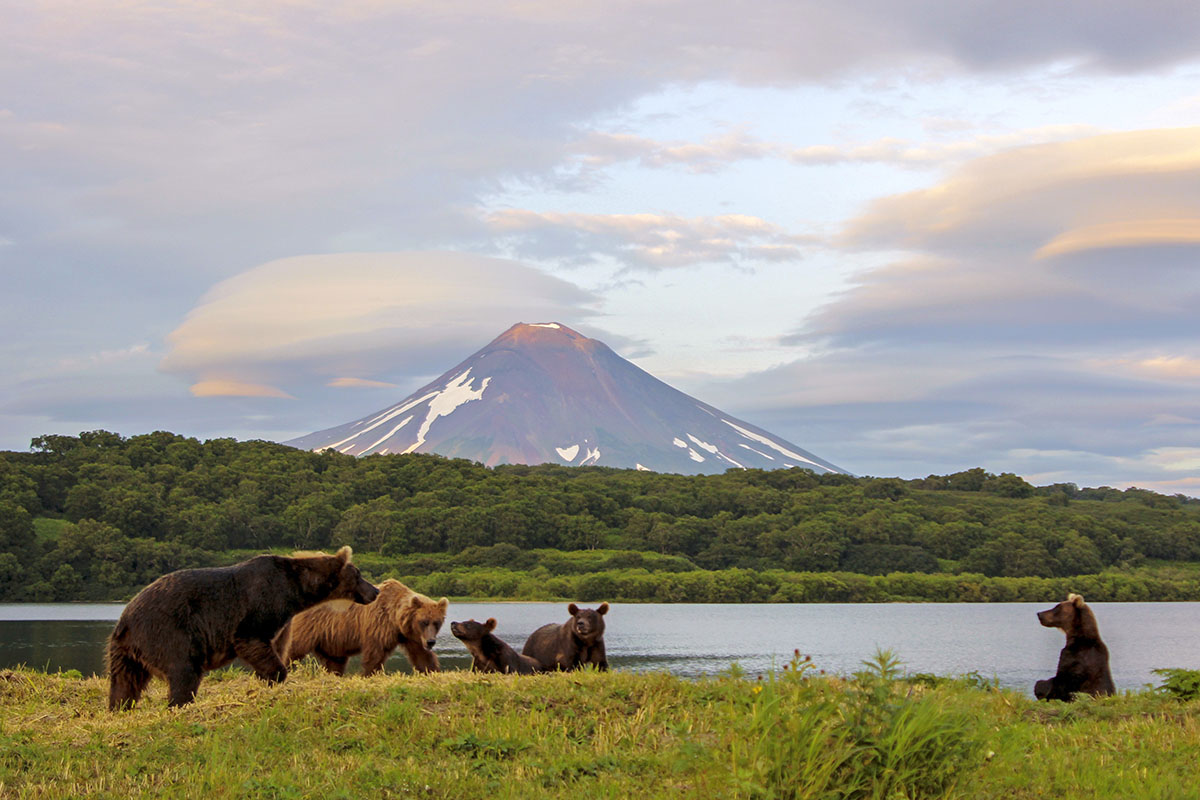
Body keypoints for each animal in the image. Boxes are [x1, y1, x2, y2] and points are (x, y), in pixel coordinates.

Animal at [106, 546, 374, 710]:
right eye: (359, 575)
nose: (374, 591)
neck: (295, 592)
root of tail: (125, 619)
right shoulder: (263, 605)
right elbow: (250, 639)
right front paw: (276, 676)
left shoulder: (283, 621)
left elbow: (275, 647)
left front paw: (265, 681)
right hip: (168, 632)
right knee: (184, 670)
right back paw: (180, 704)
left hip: (125, 650)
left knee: (124, 683)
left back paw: (119, 708)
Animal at [274, 575, 448, 676]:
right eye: (423, 621)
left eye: (436, 622)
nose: (431, 641)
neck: (395, 618)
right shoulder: (378, 625)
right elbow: (375, 654)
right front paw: (369, 673)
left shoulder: (410, 635)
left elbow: (421, 655)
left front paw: (432, 670)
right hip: (311, 626)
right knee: (293, 647)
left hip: (332, 637)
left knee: (335, 660)